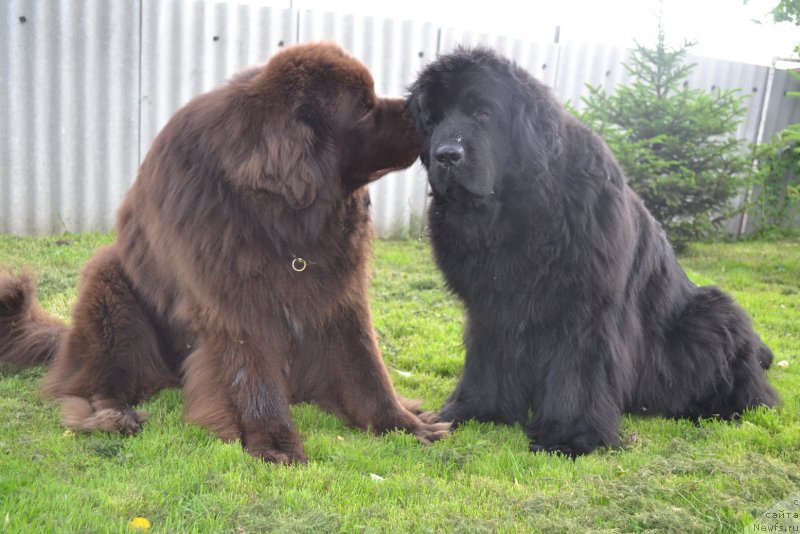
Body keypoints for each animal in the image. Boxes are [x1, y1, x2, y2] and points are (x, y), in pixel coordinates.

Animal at [0, 43, 446, 464]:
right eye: (364, 107)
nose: (423, 112)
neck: (282, 218)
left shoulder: (340, 296)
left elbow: (366, 366)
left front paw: (405, 424)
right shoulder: (236, 307)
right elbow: (254, 377)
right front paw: (274, 443)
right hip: (109, 289)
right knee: (95, 382)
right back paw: (113, 415)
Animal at [406, 47, 776, 456]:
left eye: (482, 113)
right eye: (432, 120)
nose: (446, 155)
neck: (519, 210)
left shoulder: (585, 308)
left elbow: (578, 372)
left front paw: (572, 437)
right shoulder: (491, 307)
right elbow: (487, 361)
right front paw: (474, 410)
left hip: (711, 313)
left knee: (752, 390)